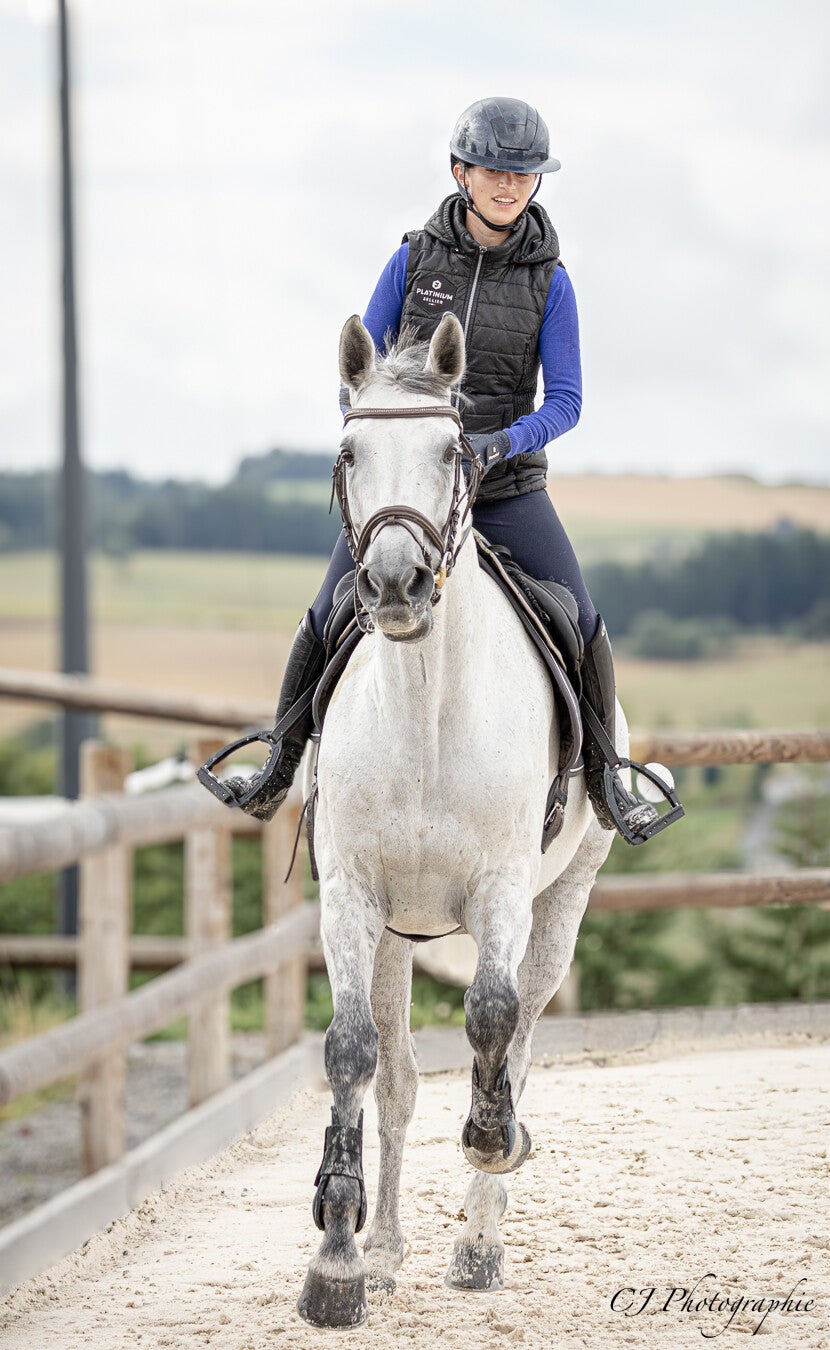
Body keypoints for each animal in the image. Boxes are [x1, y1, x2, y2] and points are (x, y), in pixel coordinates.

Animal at [297, 312, 616, 1328]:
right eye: (350, 453)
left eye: (451, 450)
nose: (397, 585)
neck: (425, 713)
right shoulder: (353, 898)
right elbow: (355, 1055)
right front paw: (338, 1260)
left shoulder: (503, 892)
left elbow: (490, 1017)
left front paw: (490, 1141)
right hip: (398, 935)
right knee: (398, 1078)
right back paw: (385, 1248)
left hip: (562, 902)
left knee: (521, 1037)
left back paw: (479, 1239)